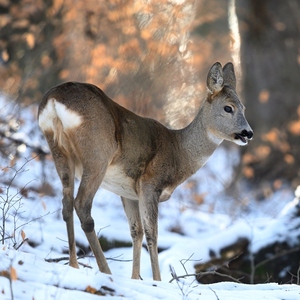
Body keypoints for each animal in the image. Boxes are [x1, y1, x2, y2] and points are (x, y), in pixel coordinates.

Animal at [38, 61, 253, 282]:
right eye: (228, 108)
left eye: (244, 108)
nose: (248, 133)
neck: (179, 153)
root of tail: (54, 100)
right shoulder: (150, 183)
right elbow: (152, 234)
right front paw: (157, 280)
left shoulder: (128, 192)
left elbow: (136, 231)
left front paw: (136, 278)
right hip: (97, 154)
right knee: (82, 205)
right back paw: (105, 270)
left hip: (58, 149)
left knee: (66, 203)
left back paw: (73, 265)